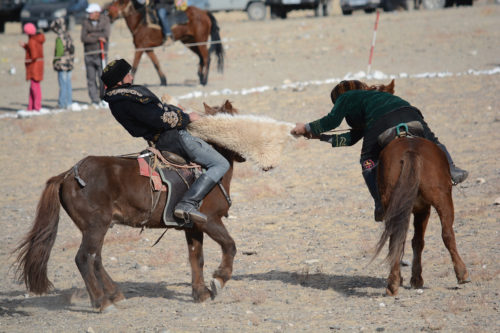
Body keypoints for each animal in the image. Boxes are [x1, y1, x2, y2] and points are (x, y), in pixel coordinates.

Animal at [15, 101, 246, 312]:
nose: (244, 154)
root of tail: (68, 175)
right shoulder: (210, 220)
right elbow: (230, 245)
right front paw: (219, 280)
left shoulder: (193, 227)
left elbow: (196, 258)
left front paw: (200, 293)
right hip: (95, 227)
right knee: (83, 259)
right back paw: (102, 302)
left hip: (95, 228)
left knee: (96, 259)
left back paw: (115, 294)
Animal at [376, 136, 468, 294]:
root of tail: (411, 152)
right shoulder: (423, 209)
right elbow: (419, 241)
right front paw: (417, 279)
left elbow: (412, 241)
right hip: (442, 199)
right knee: (448, 234)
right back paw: (462, 274)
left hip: (393, 205)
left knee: (395, 240)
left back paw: (393, 283)